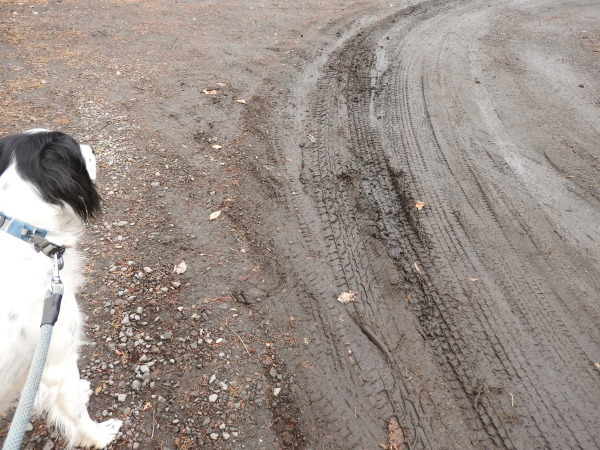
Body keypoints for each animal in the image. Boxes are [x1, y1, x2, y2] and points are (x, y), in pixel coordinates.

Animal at [0, 129, 122, 446]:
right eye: (75, 146)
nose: (93, 148)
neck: (26, 231)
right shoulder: (59, 361)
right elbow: (78, 413)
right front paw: (99, 436)